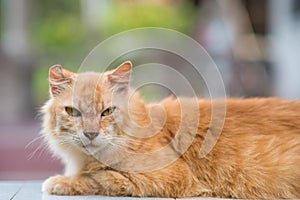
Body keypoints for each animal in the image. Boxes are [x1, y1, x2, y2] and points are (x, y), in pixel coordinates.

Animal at [41, 61, 300, 199]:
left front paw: (61, 182)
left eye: (107, 112)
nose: (91, 134)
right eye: (73, 112)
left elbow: (99, 177)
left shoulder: (170, 175)